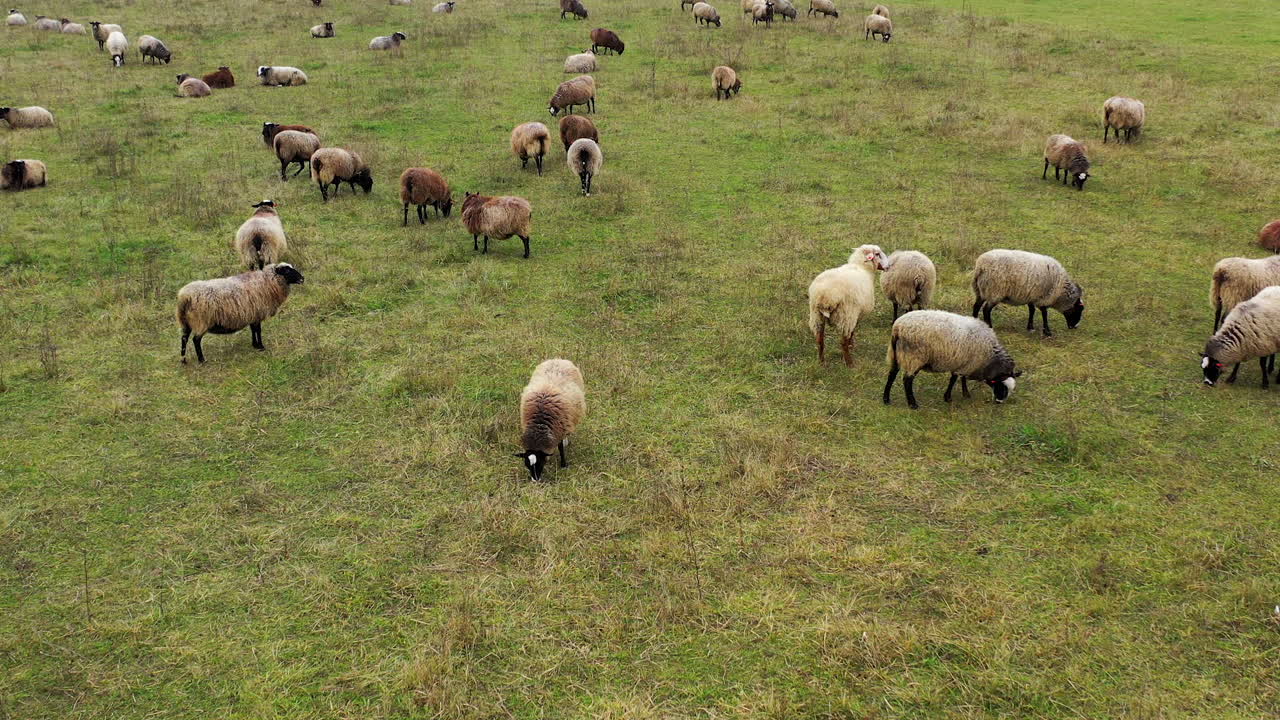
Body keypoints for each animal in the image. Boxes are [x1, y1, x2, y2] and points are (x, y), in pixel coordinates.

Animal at [176, 263, 305, 364]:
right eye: (287, 270)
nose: (302, 278)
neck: (267, 282)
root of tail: (184, 297)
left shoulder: (252, 314)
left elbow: (253, 329)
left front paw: (255, 345)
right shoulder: (257, 313)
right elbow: (258, 330)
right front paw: (261, 346)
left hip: (186, 321)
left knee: (184, 338)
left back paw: (183, 359)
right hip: (201, 321)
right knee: (196, 340)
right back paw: (202, 360)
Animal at [883, 310, 1022, 409]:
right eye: (1002, 386)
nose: (999, 402)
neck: (989, 358)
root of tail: (898, 328)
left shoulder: (965, 363)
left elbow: (961, 378)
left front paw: (965, 394)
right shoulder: (963, 363)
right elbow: (955, 379)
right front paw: (949, 397)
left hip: (895, 354)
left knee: (892, 374)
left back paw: (886, 399)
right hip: (914, 357)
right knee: (907, 380)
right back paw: (912, 404)